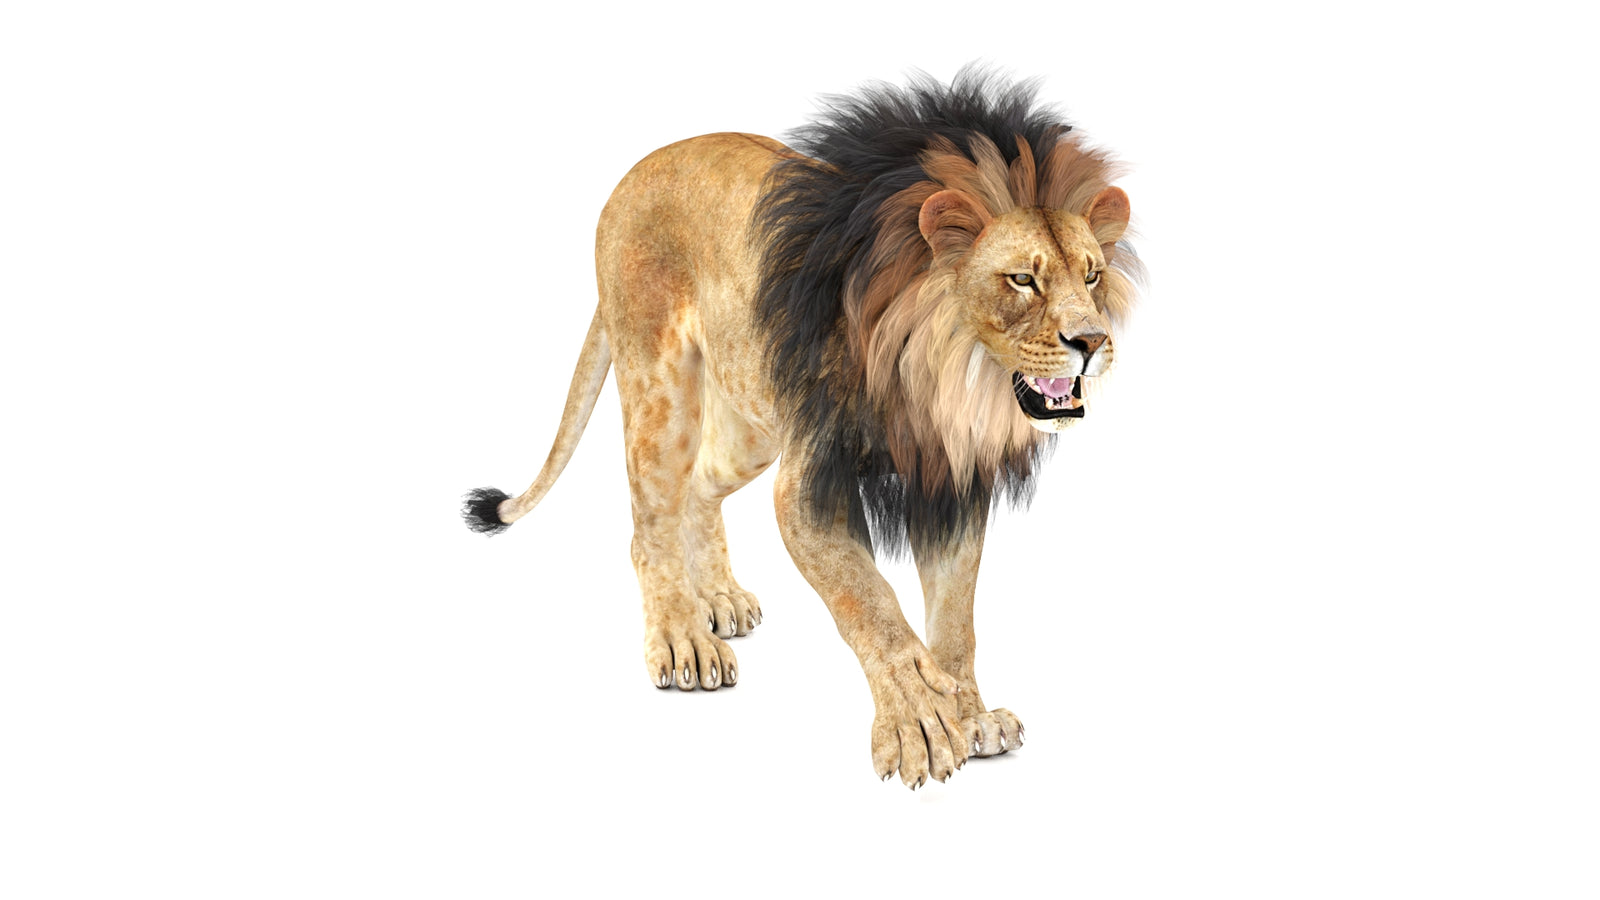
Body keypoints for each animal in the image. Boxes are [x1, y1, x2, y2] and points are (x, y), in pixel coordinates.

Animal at [463, 70, 1139, 788]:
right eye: (1022, 280)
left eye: (1092, 275)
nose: (1093, 342)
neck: (944, 380)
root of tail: (636, 172)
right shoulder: (812, 485)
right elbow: (871, 604)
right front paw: (921, 725)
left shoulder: (948, 484)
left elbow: (956, 617)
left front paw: (971, 713)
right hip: (661, 384)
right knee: (650, 523)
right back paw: (682, 637)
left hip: (754, 419)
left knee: (698, 489)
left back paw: (720, 597)